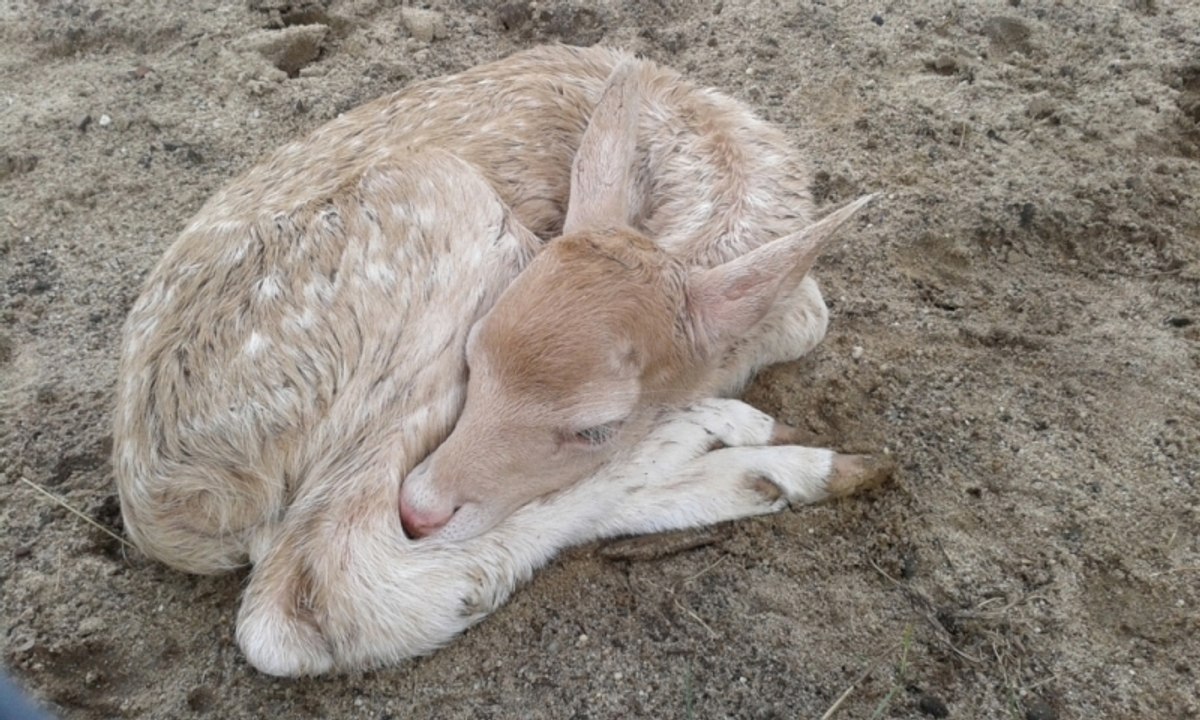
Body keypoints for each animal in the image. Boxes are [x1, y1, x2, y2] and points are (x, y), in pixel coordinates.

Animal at [112, 45, 885, 676]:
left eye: (596, 427)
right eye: (474, 355)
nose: (421, 510)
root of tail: (165, 512)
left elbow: (809, 317)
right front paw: (716, 423)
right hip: (437, 224)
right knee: (327, 597)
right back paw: (765, 454)